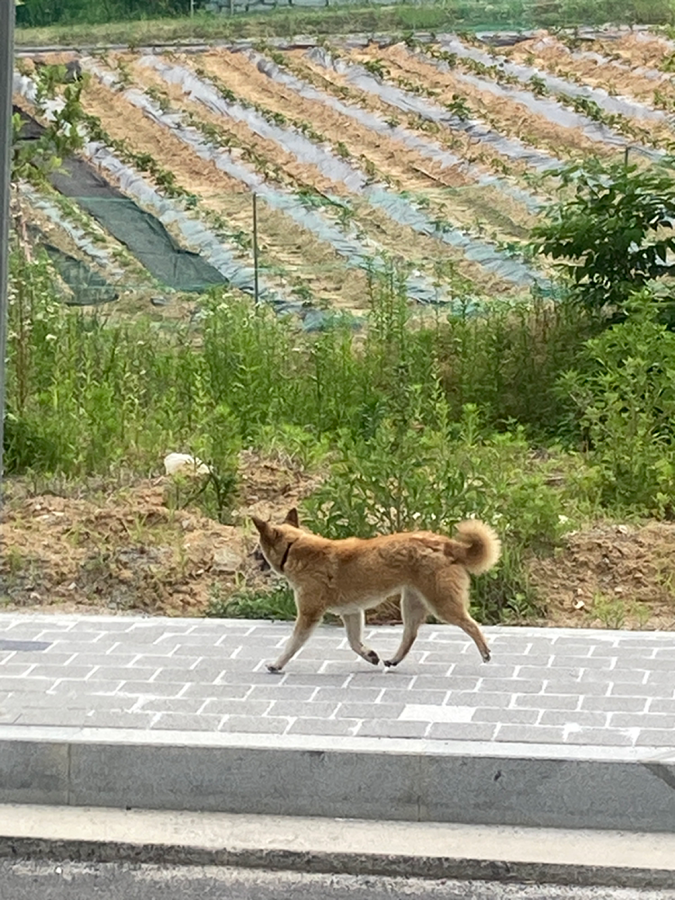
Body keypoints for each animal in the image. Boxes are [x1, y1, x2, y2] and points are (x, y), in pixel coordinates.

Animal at [251, 510, 500, 672]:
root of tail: (447, 544)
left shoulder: (309, 614)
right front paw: (369, 655)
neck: (294, 548)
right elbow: (354, 642)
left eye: (259, 546)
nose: (251, 556)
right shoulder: (351, 612)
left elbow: (292, 644)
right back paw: (395, 659)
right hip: (411, 602)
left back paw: (486, 652)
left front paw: (277, 664)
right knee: (410, 634)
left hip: (441, 604)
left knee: (471, 625)